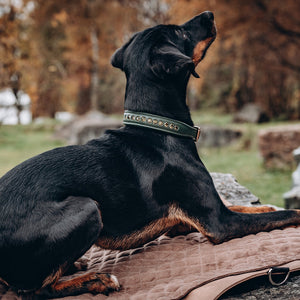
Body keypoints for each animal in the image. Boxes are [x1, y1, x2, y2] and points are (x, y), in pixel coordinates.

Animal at [0, 11, 300, 298]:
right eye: (180, 32)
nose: (209, 13)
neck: (160, 130)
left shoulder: (186, 221)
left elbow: (254, 208)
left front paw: (266, 206)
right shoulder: (219, 223)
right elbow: (285, 214)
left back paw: (75, 265)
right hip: (87, 208)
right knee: (35, 290)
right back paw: (97, 279)